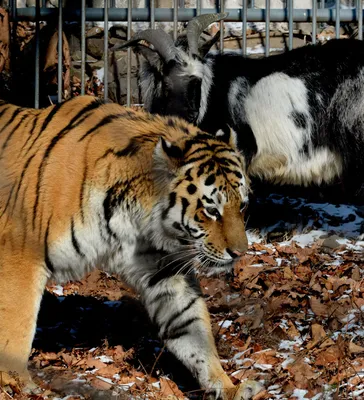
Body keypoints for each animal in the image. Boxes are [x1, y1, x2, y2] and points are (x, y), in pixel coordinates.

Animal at [0, 95, 264, 398]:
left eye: (241, 206)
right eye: (211, 210)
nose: (240, 253)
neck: (134, 219)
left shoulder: (163, 271)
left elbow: (192, 327)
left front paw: (228, 386)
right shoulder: (20, 255)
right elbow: (16, 326)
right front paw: (15, 382)